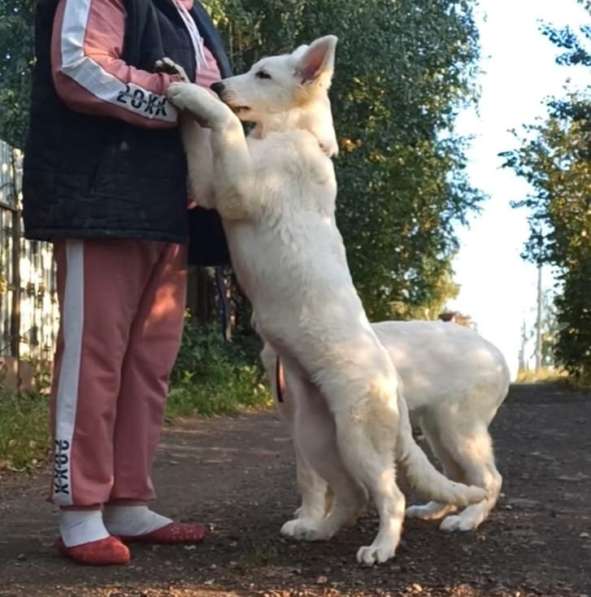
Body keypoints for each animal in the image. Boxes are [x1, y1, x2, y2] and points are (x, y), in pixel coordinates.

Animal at [165, 36, 486, 564]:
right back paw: (317, 530)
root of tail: (394, 387)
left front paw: (196, 96)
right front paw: (177, 80)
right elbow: (200, 141)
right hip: (316, 436)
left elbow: (226, 124)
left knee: (390, 496)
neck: (294, 135)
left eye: (264, 75)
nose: (218, 84)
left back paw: (381, 548)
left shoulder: (237, 189)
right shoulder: (210, 186)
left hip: (359, 440)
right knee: (352, 496)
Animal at [262, 318, 512, 532]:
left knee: (491, 478)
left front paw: (309, 520)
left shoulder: (305, 421)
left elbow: (309, 478)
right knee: (454, 475)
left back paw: (467, 519)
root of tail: (496, 353)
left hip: (459, 428)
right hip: (437, 428)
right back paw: (430, 510)